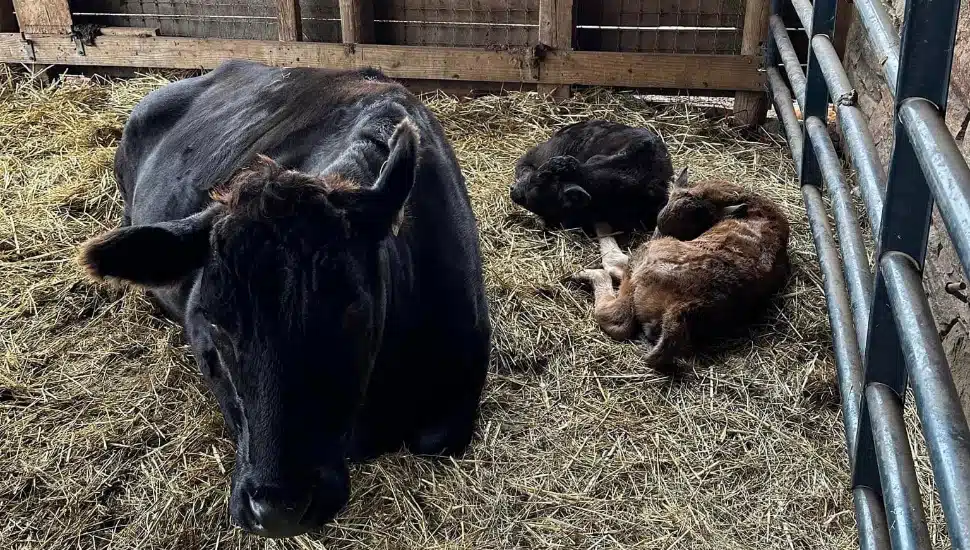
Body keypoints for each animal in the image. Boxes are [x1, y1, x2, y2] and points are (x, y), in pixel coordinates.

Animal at [574, 168, 790, 372]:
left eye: (691, 230)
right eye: (658, 219)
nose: (660, 234)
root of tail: (683, 306)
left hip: (648, 255)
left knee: (617, 310)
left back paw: (590, 263)